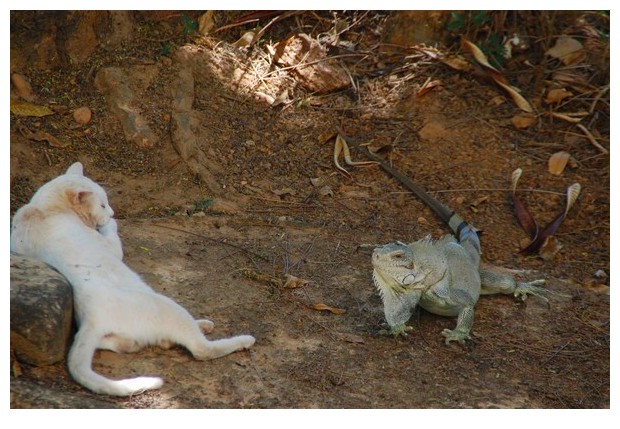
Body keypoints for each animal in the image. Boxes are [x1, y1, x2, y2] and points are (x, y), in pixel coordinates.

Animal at [11, 162, 254, 396]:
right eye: (102, 205)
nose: (112, 213)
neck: (45, 209)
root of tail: (93, 318)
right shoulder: (110, 247)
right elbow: (112, 236)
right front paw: (111, 224)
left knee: (124, 344)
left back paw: (199, 325)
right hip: (166, 305)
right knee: (201, 349)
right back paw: (242, 339)